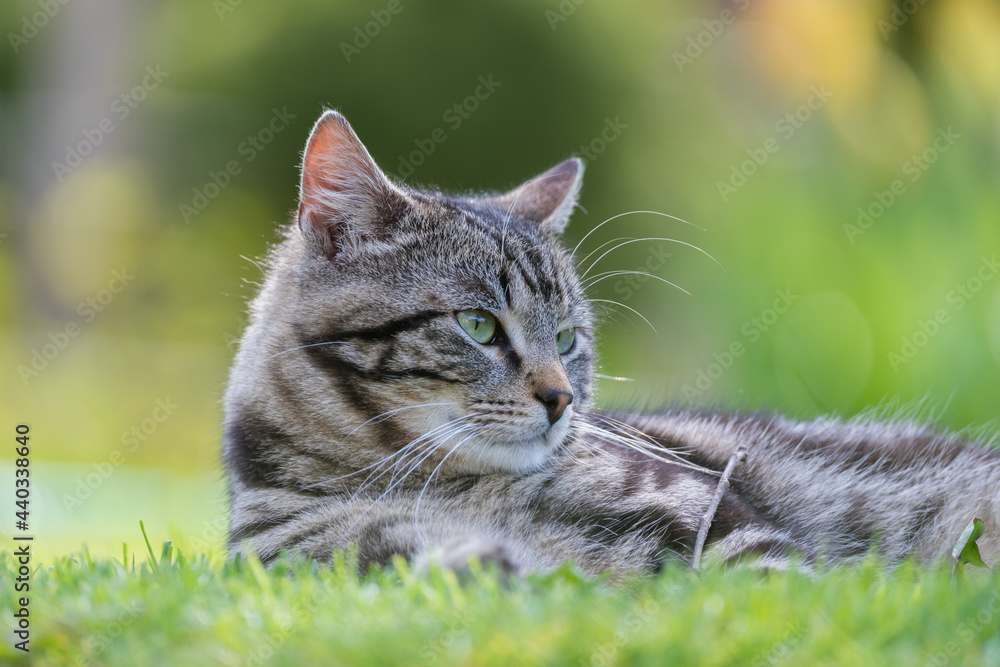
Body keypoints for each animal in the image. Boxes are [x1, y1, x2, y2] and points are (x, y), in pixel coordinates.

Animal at [223, 109, 996, 576]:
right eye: (478, 325)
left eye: (568, 338)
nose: (561, 398)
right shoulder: (321, 557)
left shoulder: (708, 514)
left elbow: (772, 582)